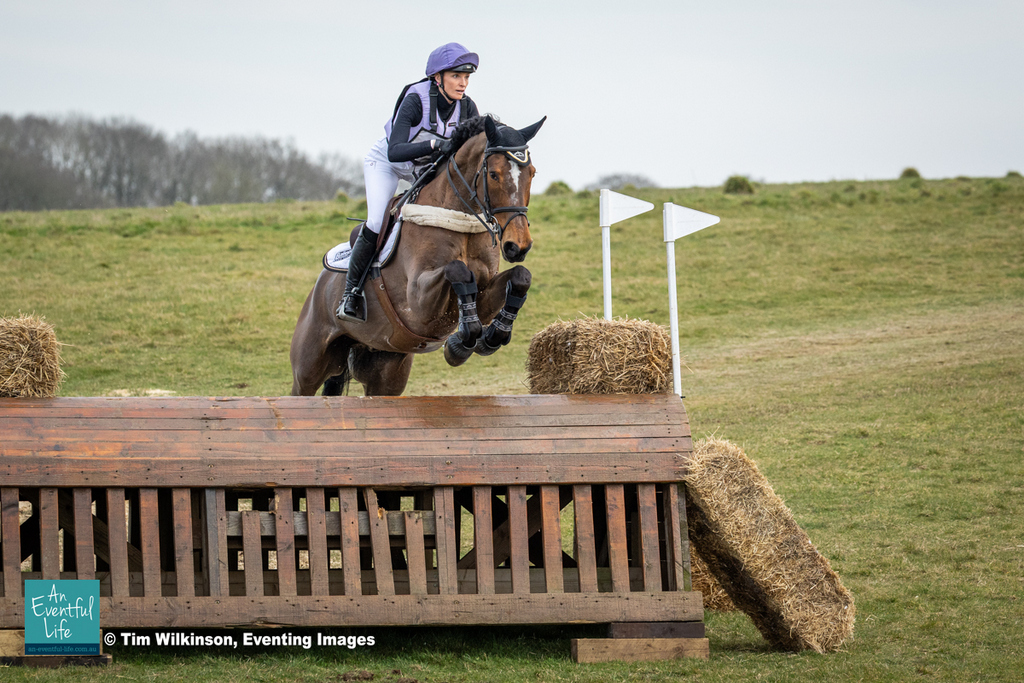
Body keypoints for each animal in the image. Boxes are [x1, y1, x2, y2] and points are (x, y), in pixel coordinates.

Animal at [289, 115, 545, 396]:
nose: (517, 246)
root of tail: (318, 287)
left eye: (532, 173)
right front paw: (461, 342)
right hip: (309, 367)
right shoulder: (418, 304)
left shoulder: (484, 292)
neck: (460, 220)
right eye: (493, 174)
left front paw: (490, 337)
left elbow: (521, 276)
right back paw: (349, 304)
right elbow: (457, 270)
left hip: (386, 371)